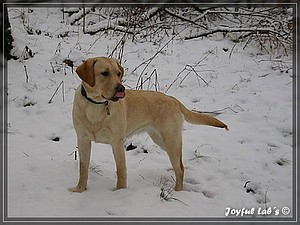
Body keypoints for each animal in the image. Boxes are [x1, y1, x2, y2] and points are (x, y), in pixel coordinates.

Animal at [69, 56, 227, 192]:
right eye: (105, 73)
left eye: (118, 73)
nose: (121, 89)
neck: (95, 105)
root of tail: (173, 99)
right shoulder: (83, 140)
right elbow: (83, 168)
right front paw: (80, 190)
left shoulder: (117, 142)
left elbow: (121, 171)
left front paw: (120, 192)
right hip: (160, 139)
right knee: (180, 165)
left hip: (171, 140)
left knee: (180, 168)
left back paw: (178, 191)